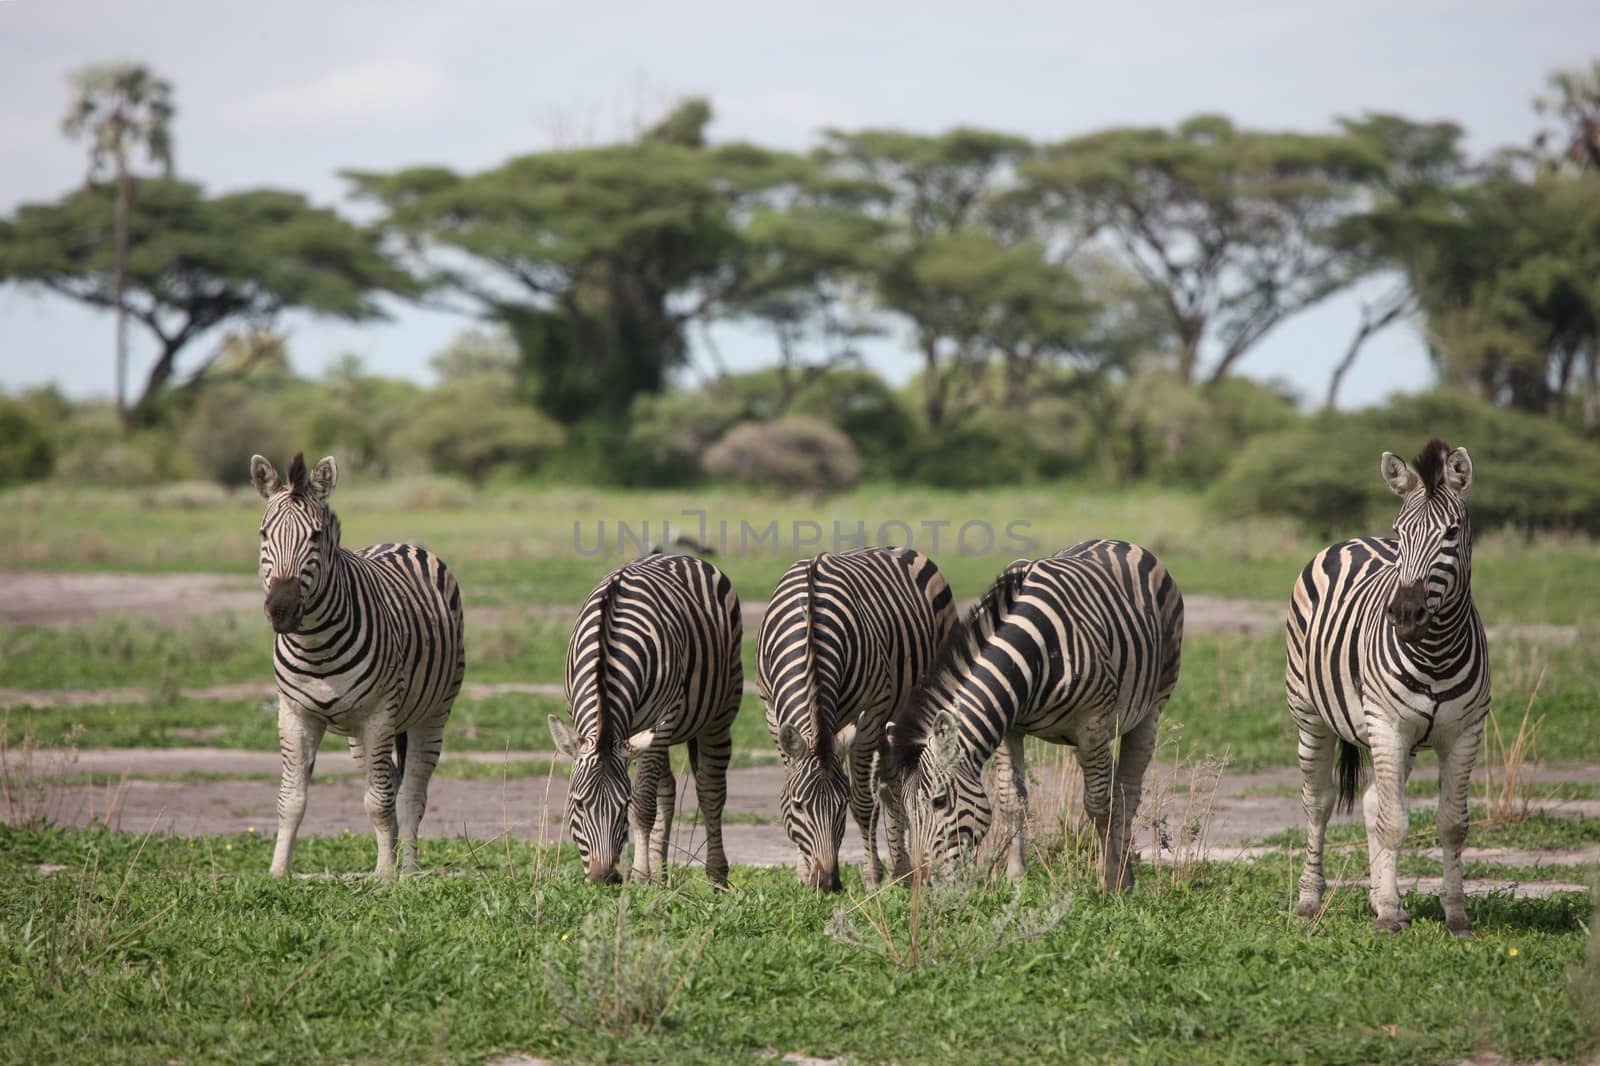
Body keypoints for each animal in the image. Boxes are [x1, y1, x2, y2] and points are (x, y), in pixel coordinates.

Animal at [248, 451, 464, 877]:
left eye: (315, 537)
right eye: (264, 534)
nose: (281, 610)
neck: (316, 646)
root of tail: (400, 543)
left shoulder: (379, 713)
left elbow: (379, 802)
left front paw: (385, 875)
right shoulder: (295, 714)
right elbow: (291, 799)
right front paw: (278, 872)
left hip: (431, 713)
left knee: (410, 792)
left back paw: (408, 869)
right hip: (358, 735)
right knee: (390, 782)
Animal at [547, 547, 745, 877]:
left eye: (622, 806)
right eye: (579, 804)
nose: (604, 877)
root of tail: (678, 555)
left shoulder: (661, 718)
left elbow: (643, 806)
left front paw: (639, 876)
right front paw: (638, 874)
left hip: (718, 714)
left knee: (710, 790)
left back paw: (716, 875)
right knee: (667, 790)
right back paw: (660, 876)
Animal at [748, 547, 947, 889]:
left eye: (840, 805)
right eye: (798, 806)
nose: (827, 883)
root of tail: (899, 548)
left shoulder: (871, 713)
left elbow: (864, 803)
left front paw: (871, 878)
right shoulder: (772, 713)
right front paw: (802, 873)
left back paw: (903, 868)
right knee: (891, 783)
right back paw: (901, 868)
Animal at [870, 534, 1184, 883]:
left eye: (939, 801)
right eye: (905, 806)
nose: (923, 882)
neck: (1033, 652)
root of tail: (1118, 541)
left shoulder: (1092, 725)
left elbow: (1099, 804)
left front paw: (1111, 878)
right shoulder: (1008, 726)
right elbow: (1011, 800)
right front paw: (1015, 875)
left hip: (1149, 709)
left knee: (1127, 789)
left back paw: (1123, 873)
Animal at [1280, 435, 1491, 934]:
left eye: (1452, 533)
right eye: (1402, 532)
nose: (1405, 613)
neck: (1435, 652)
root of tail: (1353, 539)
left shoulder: (1464, 732)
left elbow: (1451, 824)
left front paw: (1454, 916)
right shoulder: (1389, 724)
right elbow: (1394, 823)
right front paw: (1390, 916)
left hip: (1397, 739)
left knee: (1374, 801)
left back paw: (1380, 897)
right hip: (1311, 716)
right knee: (1318, 802)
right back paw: (1309, 900)